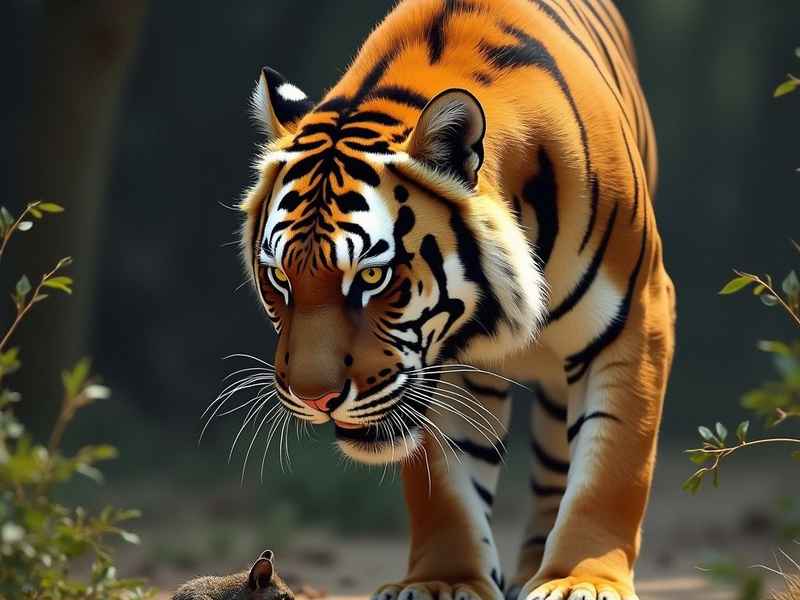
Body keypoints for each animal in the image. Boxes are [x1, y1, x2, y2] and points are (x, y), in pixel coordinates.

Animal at [237, 1, 675, 600]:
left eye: (371, 276)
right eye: (280, 276)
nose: (314, 398)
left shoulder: (637, 318)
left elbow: (612, 462)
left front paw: (581, 580)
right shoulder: (433, 367)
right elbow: (445, 483)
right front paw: (443, 579)